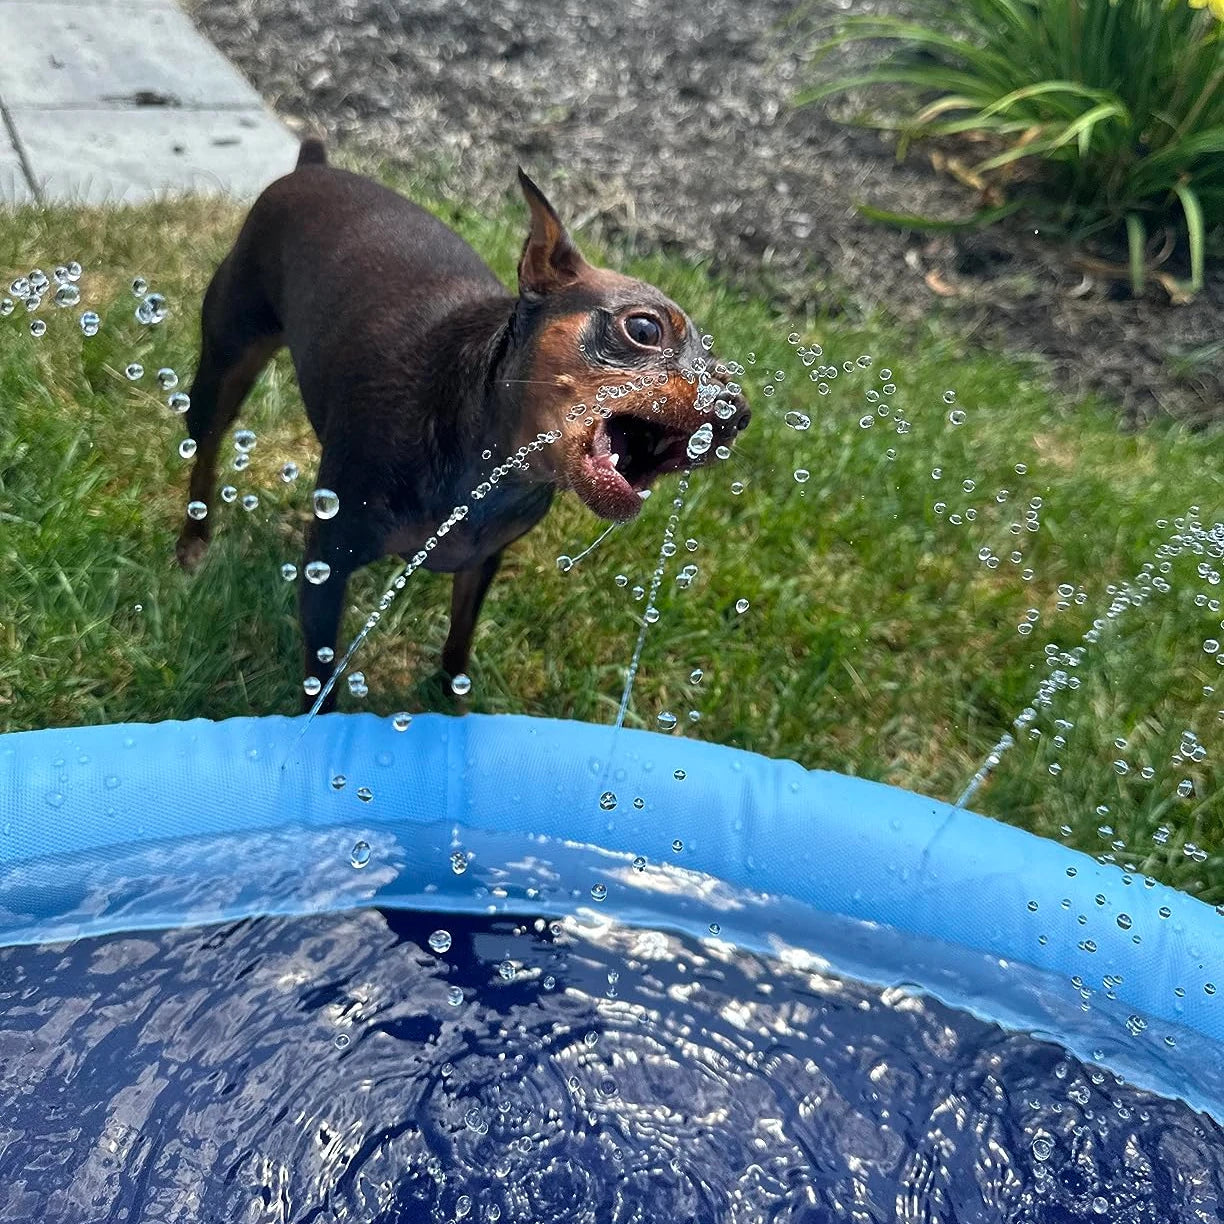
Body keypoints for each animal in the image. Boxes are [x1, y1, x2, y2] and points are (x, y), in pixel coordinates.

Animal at [172, 138, 744, 714]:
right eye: (644, 329)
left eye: (723, 371)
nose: (736, 411)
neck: (488, 467)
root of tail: (311, 165)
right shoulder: (325, 568)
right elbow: (323, 679)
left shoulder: (482, 561)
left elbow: (460, 640)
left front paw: (453, 706)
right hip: (226, 361)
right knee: (206, 447)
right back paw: (194, 540)